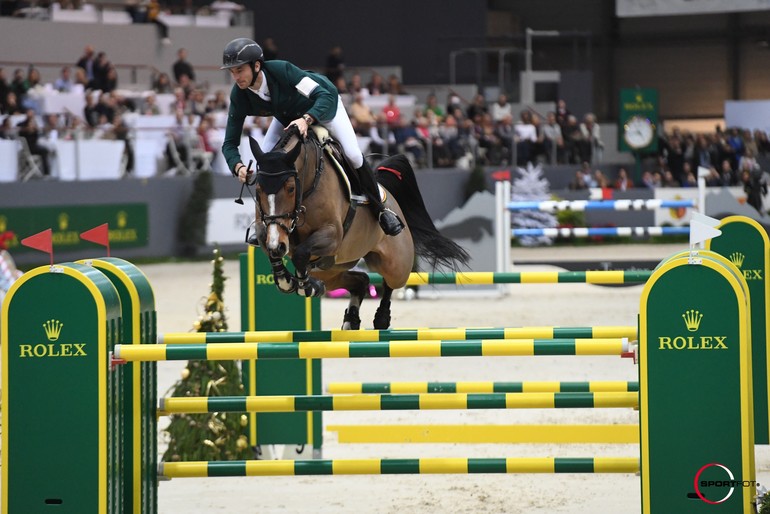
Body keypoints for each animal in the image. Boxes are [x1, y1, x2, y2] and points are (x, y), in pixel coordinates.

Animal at [244, 127, 468, 328]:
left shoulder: (332, 235)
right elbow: (272, 246)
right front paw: (287, 280)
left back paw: (381, 318)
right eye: (258, 189)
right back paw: (350, 319)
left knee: (390, 282)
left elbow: (300, 253)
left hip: (395, 263)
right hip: (331, 271)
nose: (278, 245)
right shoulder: (269, 230)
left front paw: (306, 287)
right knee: (361, 280)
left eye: (290, 188)